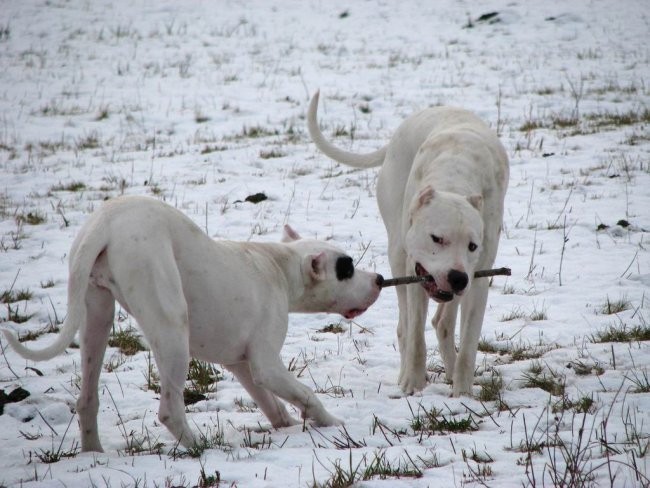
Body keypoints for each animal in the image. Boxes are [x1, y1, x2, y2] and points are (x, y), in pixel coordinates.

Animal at [1, 196, 380, 452]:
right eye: (346, 268)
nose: (378, 278)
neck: (280, 265)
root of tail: (104, 223)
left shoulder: (242, 364)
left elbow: (272, 403)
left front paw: (285, 424)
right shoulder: (266, 365)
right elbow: (306, 394)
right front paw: (332, 424)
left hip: (96, 315)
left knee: (87, 399)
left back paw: (93, 453)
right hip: (171, 327)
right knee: (170, 409)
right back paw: (201, 448)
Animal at [308, 91, 506, 396]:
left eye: (473, 246)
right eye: (436, 238)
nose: (457, 277)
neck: (456, 175)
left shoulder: (478, 280)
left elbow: (469, 345)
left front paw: (463, 394)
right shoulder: (417, 271)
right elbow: (415, 336)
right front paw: (412, 383)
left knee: (443, 323)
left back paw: (450, 370)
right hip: (398, 253)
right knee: (405, 326)